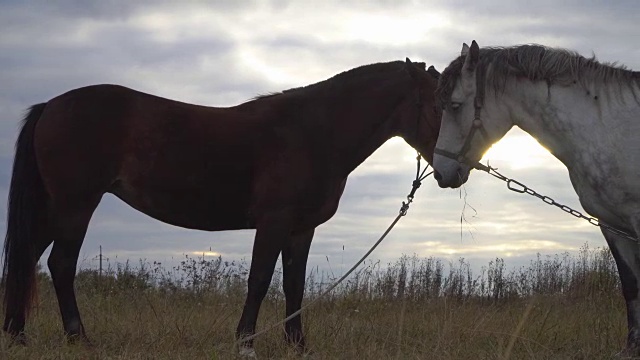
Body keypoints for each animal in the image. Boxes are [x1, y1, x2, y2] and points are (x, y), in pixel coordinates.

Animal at [1, 58, 440, 352]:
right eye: (443, 105)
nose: (453, 167)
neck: (313, 132)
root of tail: (50, 106)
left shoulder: (301, 229)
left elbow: (294, 285)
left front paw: (298, 345)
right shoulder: (274, 222)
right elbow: (260, 280)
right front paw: (245, 342)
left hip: (55, 208)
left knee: (27, 258)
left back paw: (17, 334)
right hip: (76, 205)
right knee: (60, 264)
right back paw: (78, 337)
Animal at [432, 40, 640, 356]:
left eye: (455, 105)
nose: (440, 173)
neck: (606, 129)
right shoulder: (612, 224)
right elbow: (631, 285)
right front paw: (631, 348)